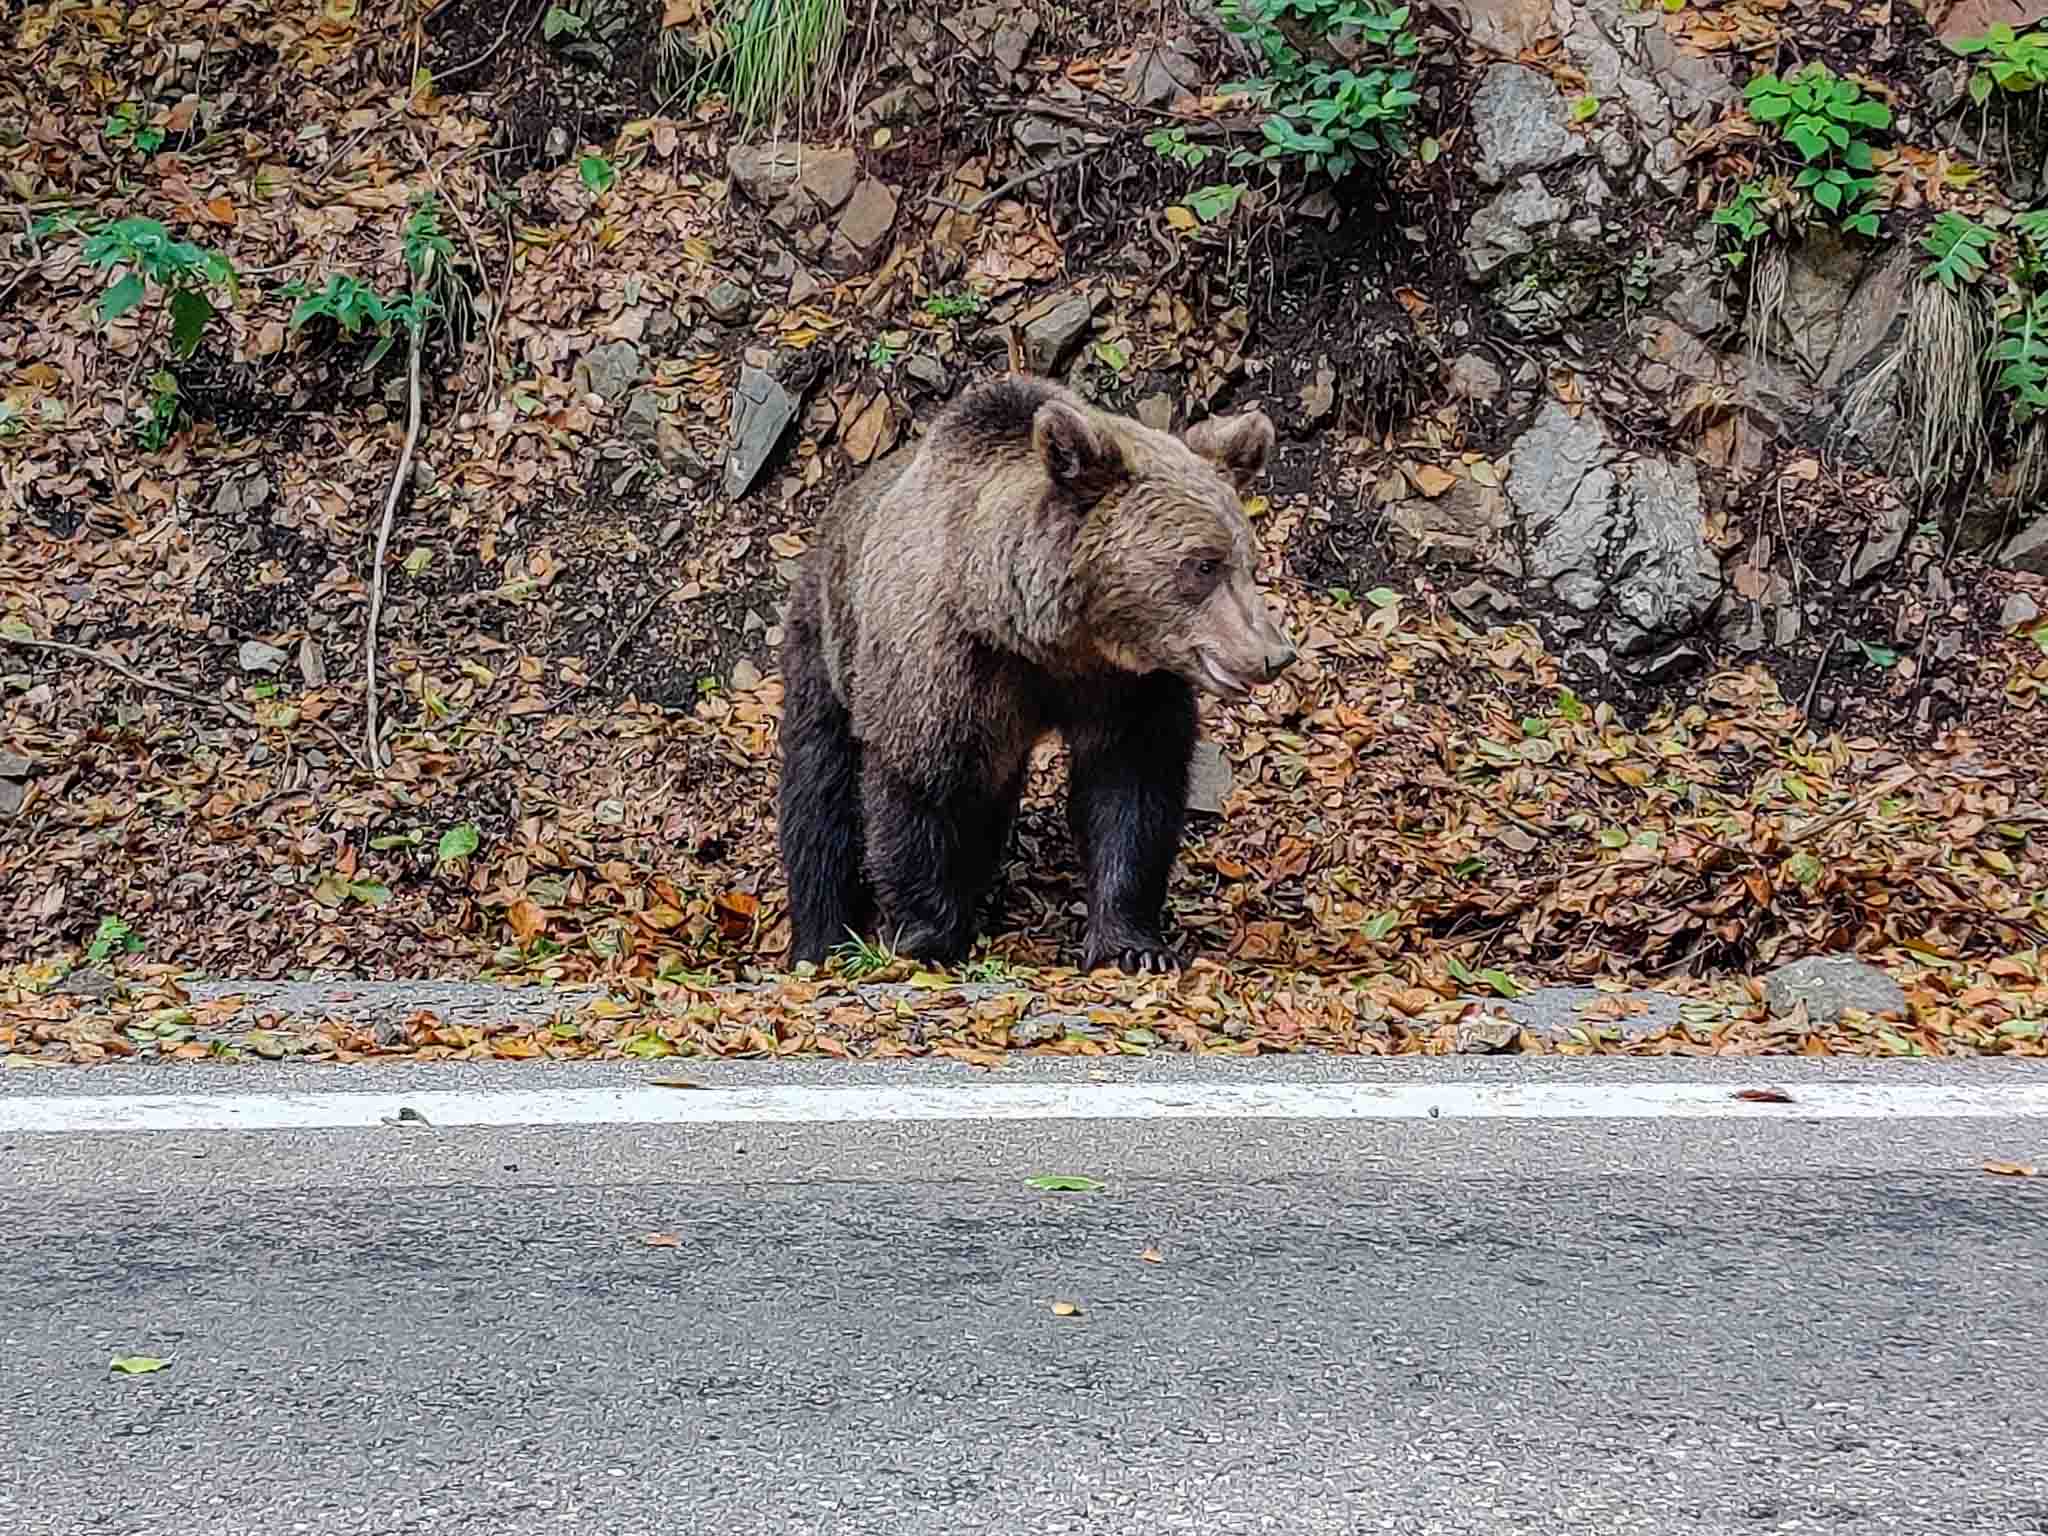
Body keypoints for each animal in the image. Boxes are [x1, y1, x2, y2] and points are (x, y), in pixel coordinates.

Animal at [774, 372, 1286, 974]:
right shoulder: (942, 664)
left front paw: (1134, 945)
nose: (1273, 653)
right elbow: (916, 792)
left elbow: (1131, 793)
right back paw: (820, 938)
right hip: (828, 636)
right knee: (818, 789)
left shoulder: (1125, 688)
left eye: (1248, 563)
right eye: (1203, 565)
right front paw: (925, 939)